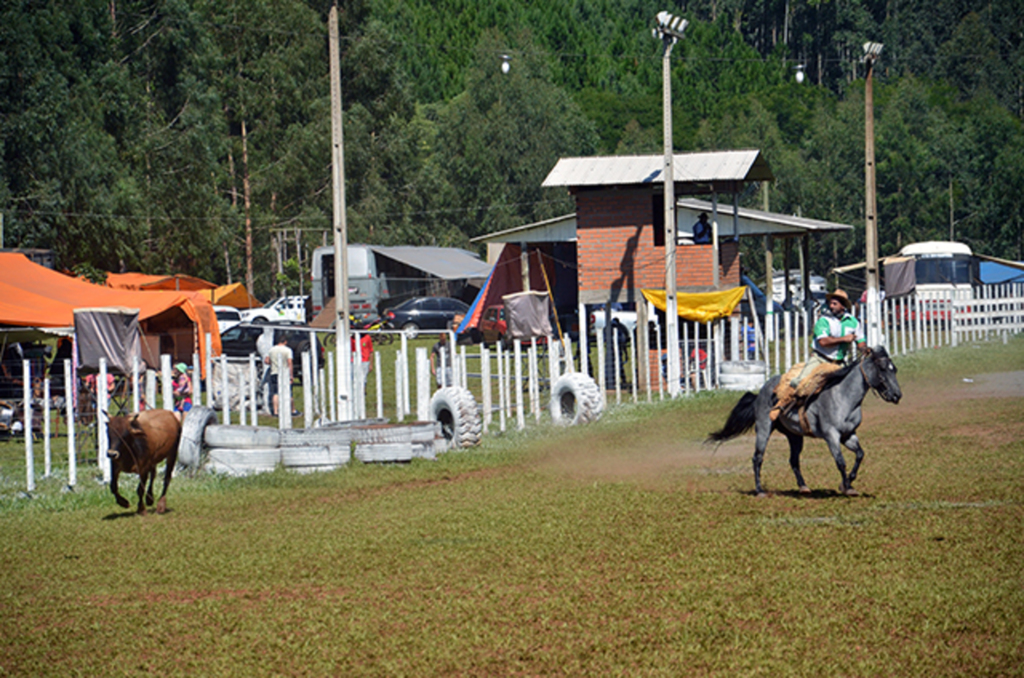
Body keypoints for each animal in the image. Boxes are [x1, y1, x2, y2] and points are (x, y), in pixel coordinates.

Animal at [708, 348, 901, 497]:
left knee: (793, 460)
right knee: (758, 458)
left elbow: (860, 454)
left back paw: (803, 487)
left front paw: (848, 484)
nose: (897, 395)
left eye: (895, 369)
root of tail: (762, 391)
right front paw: (846, 487)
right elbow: (840, 462)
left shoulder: (848, 435)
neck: (843, 396)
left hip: (794, 436)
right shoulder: (831, 436)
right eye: (882, 368)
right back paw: (760, 490)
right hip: (764, 429)